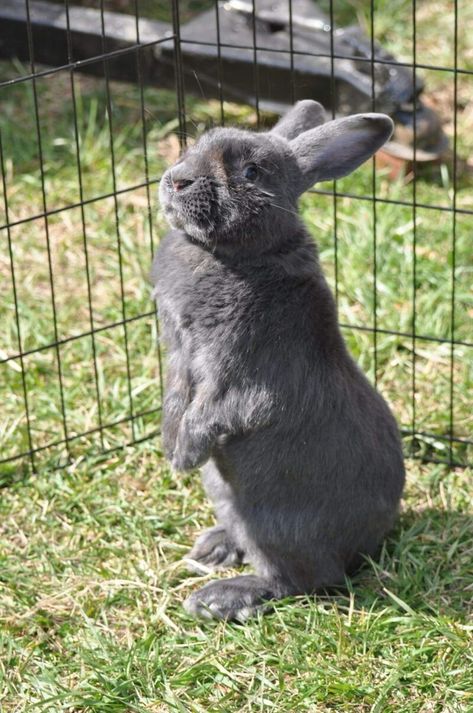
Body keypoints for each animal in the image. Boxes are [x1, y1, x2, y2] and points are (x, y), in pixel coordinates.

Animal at [151, 98, 406, 616]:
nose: (177, 180)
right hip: (225, 495)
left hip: (275, 527)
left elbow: (215, 411)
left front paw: (182, 457)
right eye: (193, 147)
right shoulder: (179, 359)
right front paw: (170, 445)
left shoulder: (242, 376)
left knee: (301, 581)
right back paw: (213, 548)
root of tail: (366, 546)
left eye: (250, 173)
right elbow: (176, 398)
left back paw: (219, 598)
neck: (234, 256)